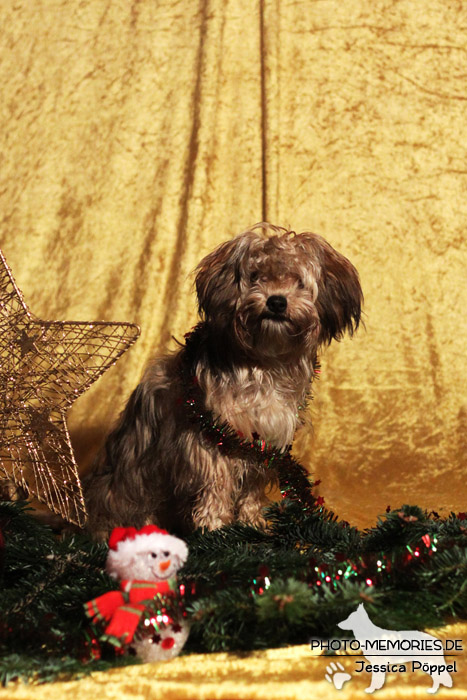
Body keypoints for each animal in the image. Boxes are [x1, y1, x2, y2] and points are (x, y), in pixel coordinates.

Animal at [84, 224, 364, 536]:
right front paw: (215, 527)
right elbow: (216, 483)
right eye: (256, 277)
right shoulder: (212, 435)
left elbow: (252, 483)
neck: (264, 362)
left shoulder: (265, 436)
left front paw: (251, 521)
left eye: (299, 282)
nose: (276, 301)